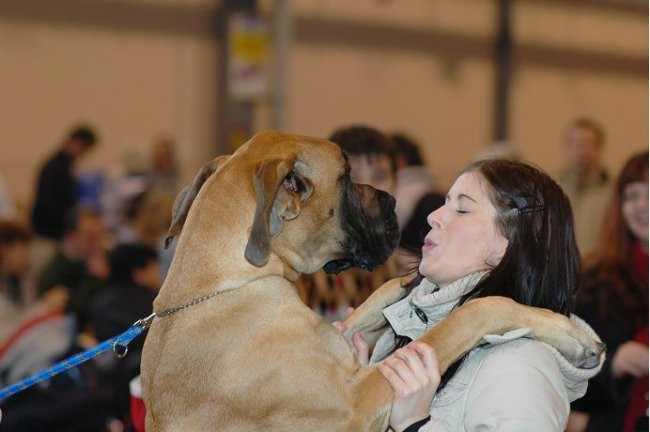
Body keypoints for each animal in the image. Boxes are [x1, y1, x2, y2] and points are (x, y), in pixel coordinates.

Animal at [142, 132, 604, 432]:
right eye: (346, 175)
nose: (395, 200)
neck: (223, 283)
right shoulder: (355, 403)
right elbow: (469, 313)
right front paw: (568, 333)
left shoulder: (343, 346)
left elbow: (372, 308)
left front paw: (408, 288)